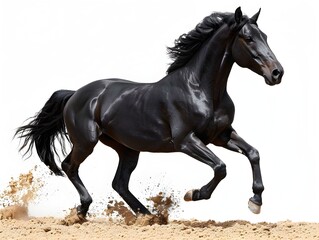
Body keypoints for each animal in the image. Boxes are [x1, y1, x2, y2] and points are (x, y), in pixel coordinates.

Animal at [15, 7, 284, 219]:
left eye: (265, 36)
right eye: (248, 38)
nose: (277, 73)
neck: (202, 89)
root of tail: (75, 94)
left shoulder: (221, 135)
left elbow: (253, 153)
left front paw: (255, 202)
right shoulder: (186, 141)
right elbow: (220, 167)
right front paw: (194, 194)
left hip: (127, 149)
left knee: (119, 183)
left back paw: (148, 216)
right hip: (86, 142)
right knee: (69, 166)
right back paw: (82, 211)